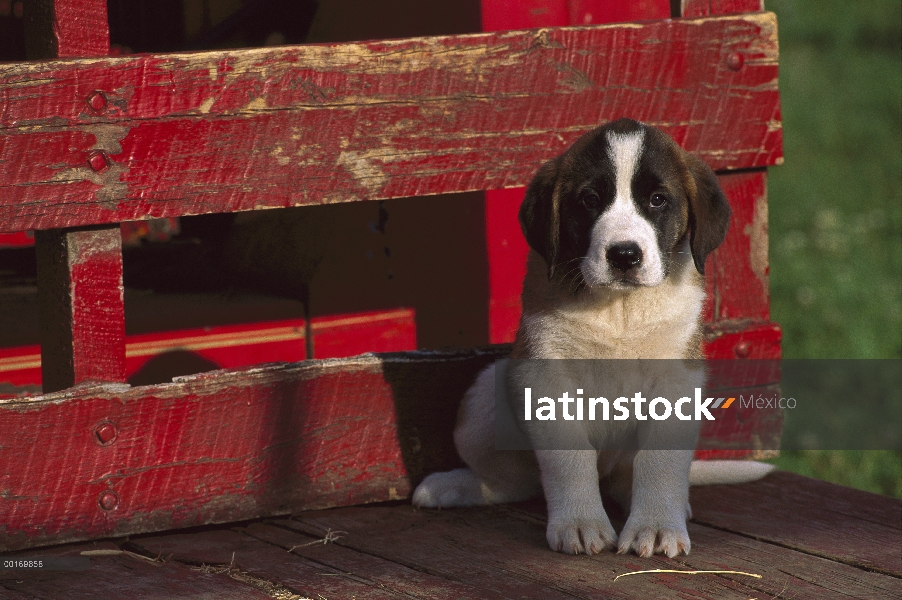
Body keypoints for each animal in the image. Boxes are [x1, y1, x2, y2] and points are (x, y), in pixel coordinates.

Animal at [414, 119, 772, 560]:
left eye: (657, 200)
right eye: (589, 200)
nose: (624, 255)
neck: (619, 310)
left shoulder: (677, 383)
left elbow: (660, 463)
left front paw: (656, 526)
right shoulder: (545, 377)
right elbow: (569, 459)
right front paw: (581, 523)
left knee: (623, 477)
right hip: (485, 393)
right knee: (517, 481)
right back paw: (453, 485)